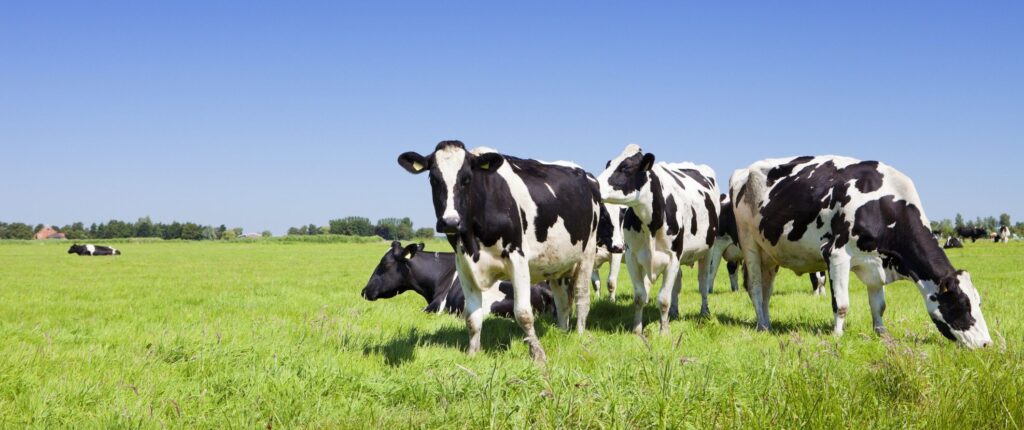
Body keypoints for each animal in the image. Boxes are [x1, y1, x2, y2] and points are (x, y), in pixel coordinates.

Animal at [398, 141, 601, 362]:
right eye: (433, 179)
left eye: (467, 179)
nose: (450, 222)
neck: (474, 242)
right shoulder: (463, 265)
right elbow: (472, 316)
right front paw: (472, 354)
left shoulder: (517, 258)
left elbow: (523, 313)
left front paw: (538, 355)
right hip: (557, 263)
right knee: (562, 300)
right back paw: (562, 332)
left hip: (587, 253)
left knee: (582, 296)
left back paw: (579, 335)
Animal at [596, 144, 720, 335]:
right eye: (608, 165)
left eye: (625, 168)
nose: (594, 185)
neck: (651, 224)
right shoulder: (632, 257)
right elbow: (640, 296)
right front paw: (637, 330)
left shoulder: (673, 257)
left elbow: (663, 299)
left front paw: (664, 332)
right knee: (677, 283)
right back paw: (674, 313)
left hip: (708, 250)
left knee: (703, 283)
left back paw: (704, 312)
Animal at [730, 155, 991, 348]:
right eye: (962, 303)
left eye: (978, 301)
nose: (987, 344)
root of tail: (743, 171)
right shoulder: (836, 255)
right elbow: (842, 304)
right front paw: (837, 336)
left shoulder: (876, 264)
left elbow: (879, 306)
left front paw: (882, 334)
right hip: (749, 244)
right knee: (755, 288)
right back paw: (761, 326)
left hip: (770, 254)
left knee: (767, 291)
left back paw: (767, 323)